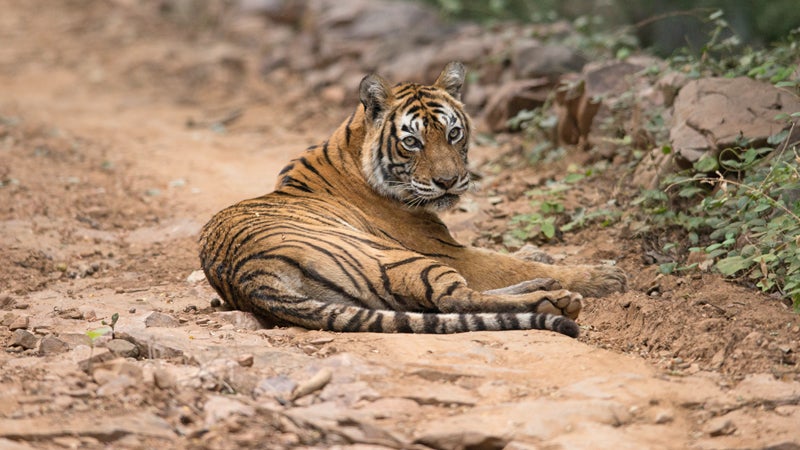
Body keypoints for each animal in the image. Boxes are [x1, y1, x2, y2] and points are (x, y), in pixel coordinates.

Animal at [198, 60, 624, 338]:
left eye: (453, 134)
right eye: (412, 141)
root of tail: (250, 278)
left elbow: (511, 257)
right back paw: (553, 297)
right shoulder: (447, 250)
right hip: (400, 259)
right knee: (456, 300)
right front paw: (604, 275)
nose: (448, 182)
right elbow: (503, 263)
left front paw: (541, 255)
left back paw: (545, 282)